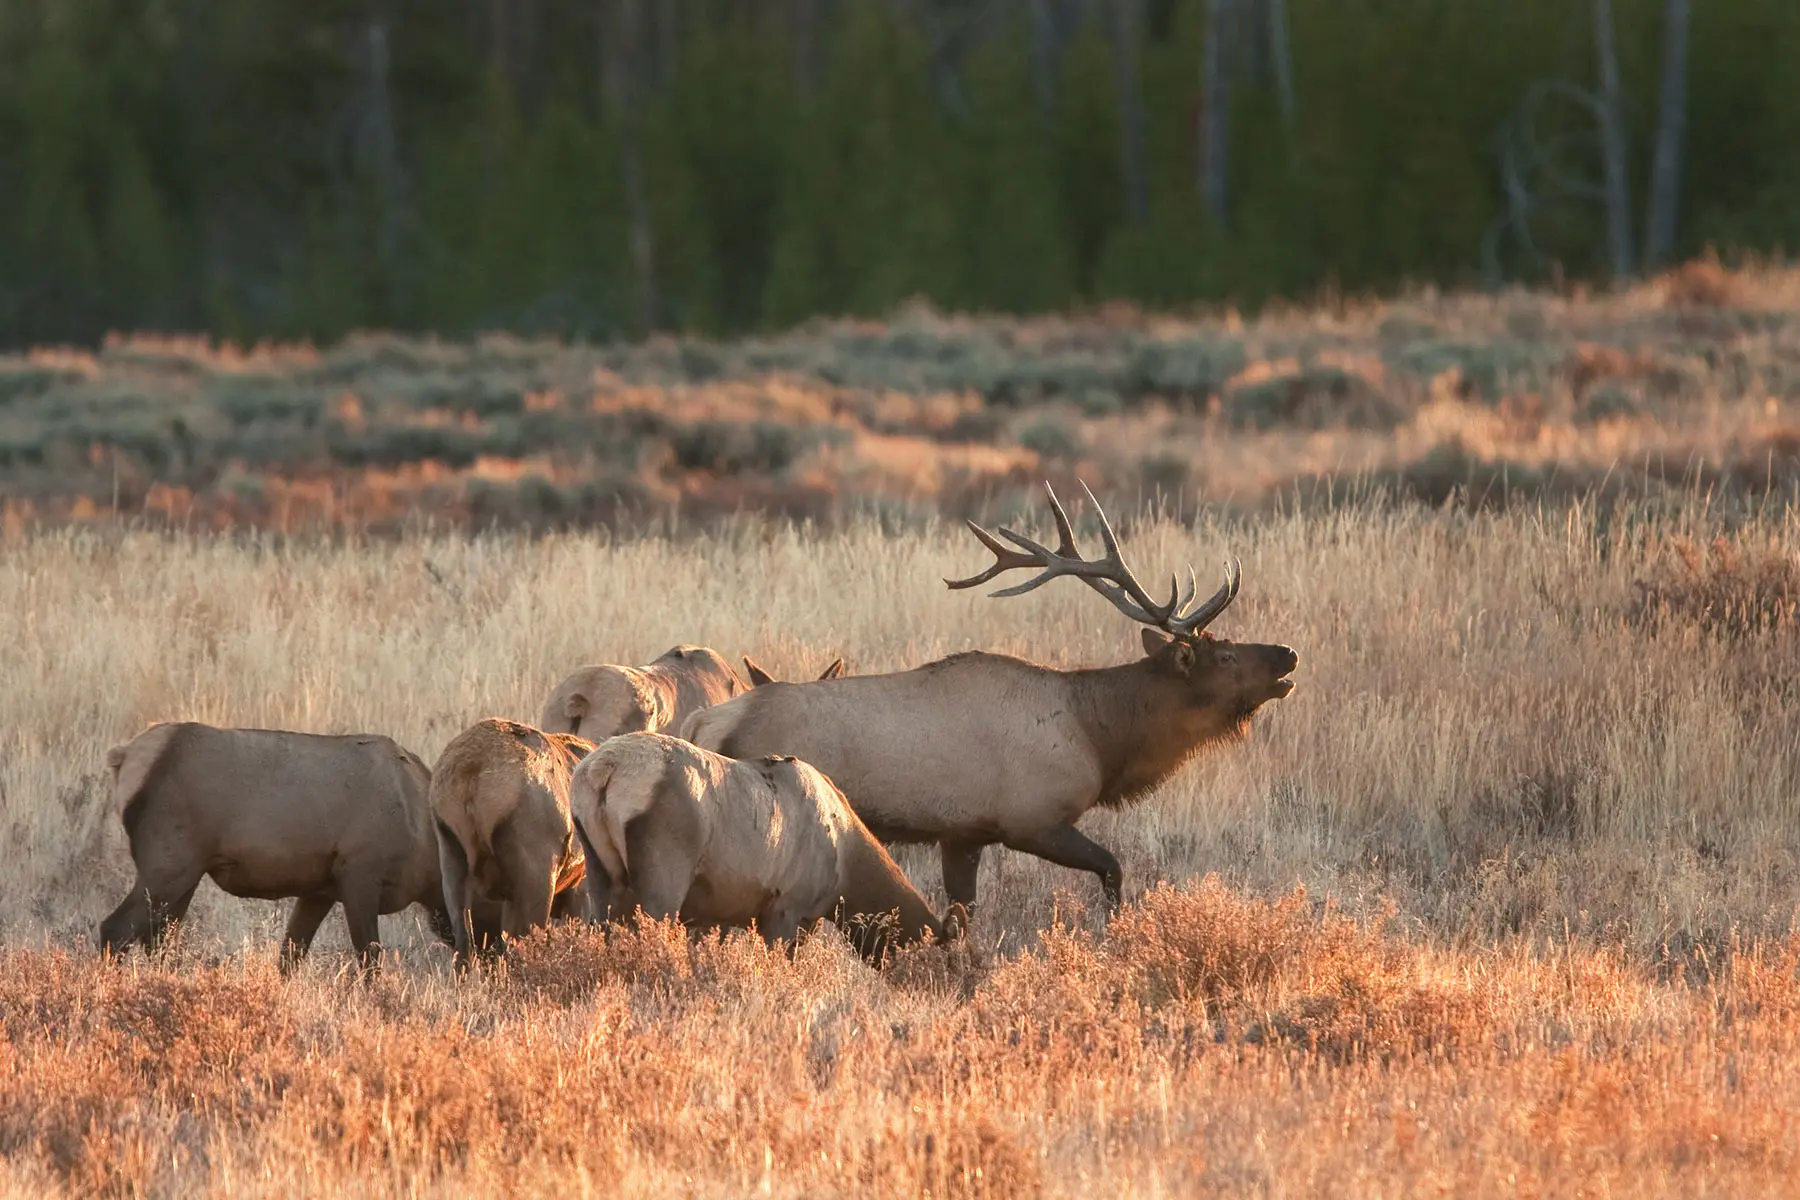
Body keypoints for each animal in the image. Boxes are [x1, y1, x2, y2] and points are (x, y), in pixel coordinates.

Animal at [684, 482, 1296, 913]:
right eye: (1225, 656)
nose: (1288, 655)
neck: (1098, 735)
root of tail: (700, 724)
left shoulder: (963, 835)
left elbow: (961, 917)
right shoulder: (1032, 817)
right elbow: (1114, 870)